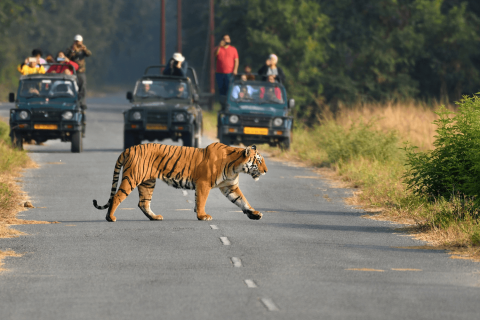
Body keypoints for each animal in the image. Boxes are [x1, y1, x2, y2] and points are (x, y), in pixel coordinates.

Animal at [93, 142, 266, 222]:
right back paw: (110, 217)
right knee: (117, 197)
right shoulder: (204, 183)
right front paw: (203, 216)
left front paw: (255, 214)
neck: (235, 167)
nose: (266, 171)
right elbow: (201, 201)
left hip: (148, 182)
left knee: (143, 202)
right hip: (132, 178)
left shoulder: (230, 187)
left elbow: (242, 201)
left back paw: (155, 217)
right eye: (258, 161)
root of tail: (129, 148)